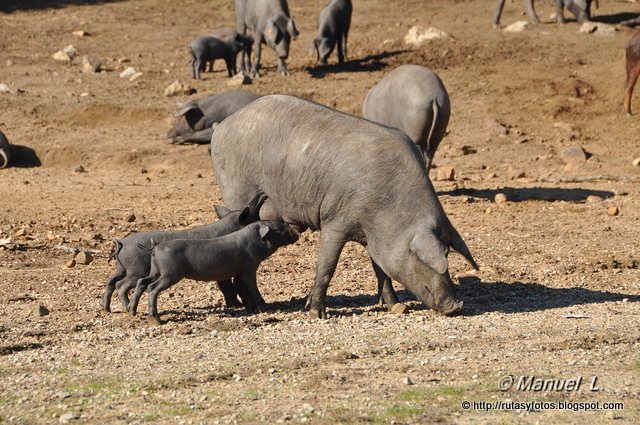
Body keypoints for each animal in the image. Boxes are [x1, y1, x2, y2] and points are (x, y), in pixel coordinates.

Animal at [102, 191, 268, 312]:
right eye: (249, 208)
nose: (262, 194)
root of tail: (121, 243)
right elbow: (227, 286)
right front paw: (238, 305)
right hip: (136, 270)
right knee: (121, 285)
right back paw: (126, 309)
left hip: (122, 268)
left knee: (111, 281)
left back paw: (107, 309)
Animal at [131, 220, 302, 322]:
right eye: (280, 228)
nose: (298, 233)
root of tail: (155, 247)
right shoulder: (248, 268)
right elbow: (251, 287)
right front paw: (263, 309)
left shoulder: (239, 272)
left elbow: (243, 289)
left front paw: (249, 308)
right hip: (170, 273)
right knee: (152, 287)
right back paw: (157, 320)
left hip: (156, 271)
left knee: (142, 282)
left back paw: (132, 312)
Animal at [212, 93, 478, 318]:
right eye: (426, 258)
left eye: (448, 253)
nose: (455, 306)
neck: (387, 213)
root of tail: (222, 126)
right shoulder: (335, 220)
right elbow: (327, 266)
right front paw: (315, 313)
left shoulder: (374, 238)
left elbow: (381, 270)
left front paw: (394, 306)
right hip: (236, 193)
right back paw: (256, 307)